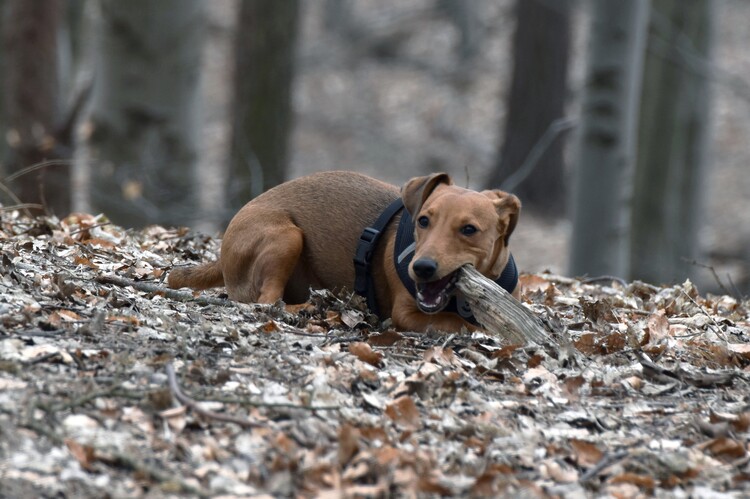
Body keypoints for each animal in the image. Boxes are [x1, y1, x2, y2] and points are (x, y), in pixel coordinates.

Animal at [170, 171, 524, 332]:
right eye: (423, 220)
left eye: (469, 230)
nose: (421, 268)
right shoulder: (406, 314)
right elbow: (464, 324)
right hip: (286, 236)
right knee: (267, 302)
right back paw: (307, 308)